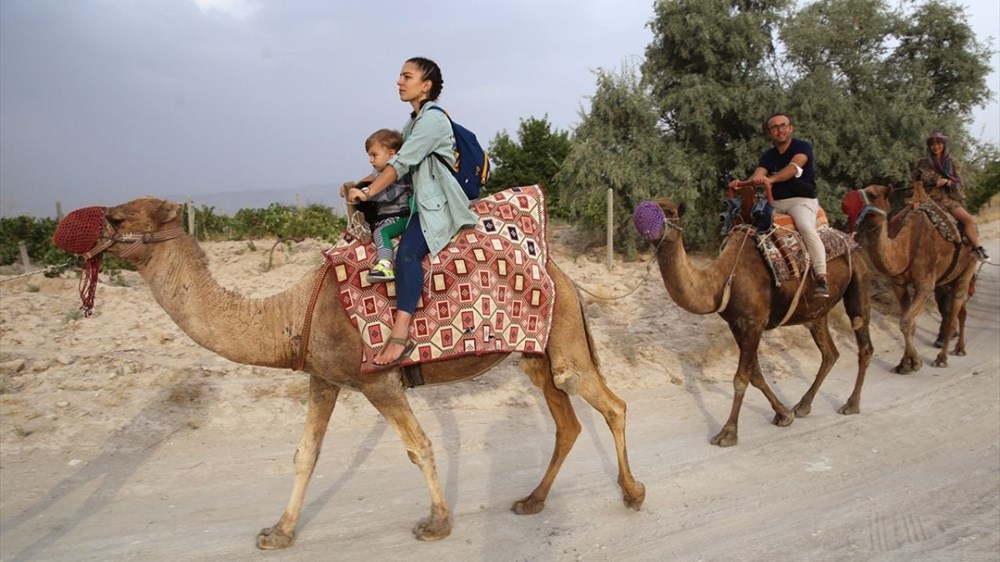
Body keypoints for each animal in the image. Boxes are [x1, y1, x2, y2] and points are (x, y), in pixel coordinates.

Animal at [55, 197, 645, 549]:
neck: (293, 314)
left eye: (117, 219)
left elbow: (419, 446)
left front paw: (436, 524)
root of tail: (565, 275)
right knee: (566, 420)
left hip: (563, 341)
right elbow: (305, 454)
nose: (71, 240)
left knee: (609, 403)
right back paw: (531, 501)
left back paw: (633, 494)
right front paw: (278, 533)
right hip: (535, 354)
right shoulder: (324, 378)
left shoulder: (377, 380)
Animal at [634, 198, 873, 447]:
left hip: (859, 280)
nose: (641, 217)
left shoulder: (753, 323)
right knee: (830, 353)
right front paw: (784, 415)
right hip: (816, 313)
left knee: (863, 341)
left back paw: (851, 404)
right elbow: (756, 375)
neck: (721, 280)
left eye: (669, 210)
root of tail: (851, 241)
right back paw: (803, 405)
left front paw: (728, 433)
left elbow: (741, 378)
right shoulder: (736, 325)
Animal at [847, 184, 977, 373]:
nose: (845, 202)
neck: (905, 247)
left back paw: (942, 358)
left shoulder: (925, 284)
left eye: (872, 194)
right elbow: (909, 323)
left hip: (968, 267)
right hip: (947, 280)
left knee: (954, 313)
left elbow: (906, 321)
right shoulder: (898, 284)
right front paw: (905, 363)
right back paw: (959, 348)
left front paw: (913, 362)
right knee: (960, 310)